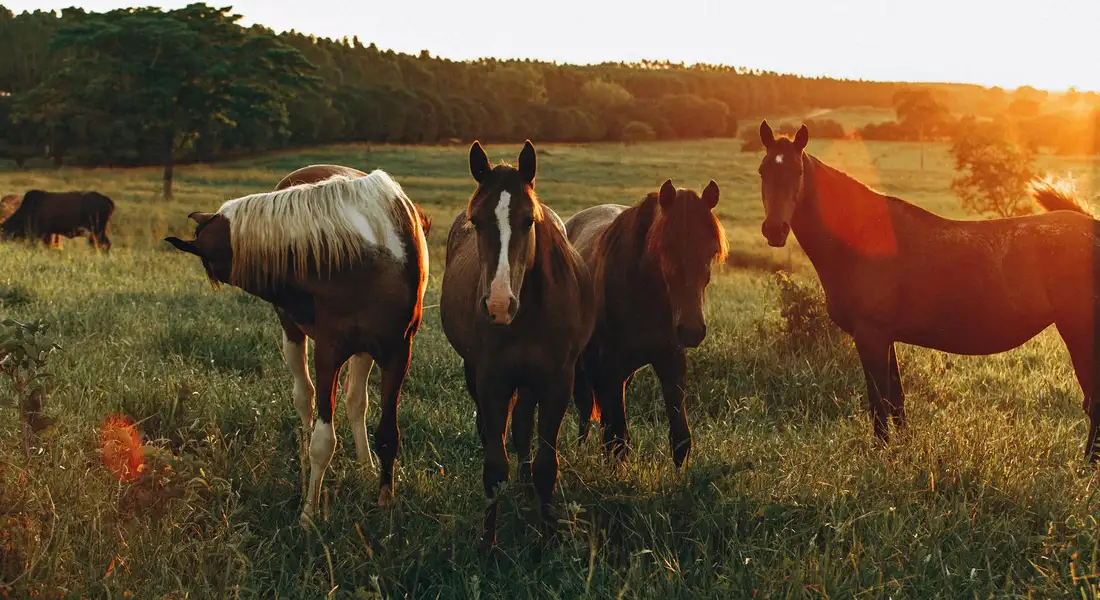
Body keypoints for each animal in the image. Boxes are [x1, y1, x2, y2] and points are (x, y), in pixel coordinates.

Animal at [165, 164, 431, 527]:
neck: (367, 254)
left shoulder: (397, 352)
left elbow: (389, 433)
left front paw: (385, 504)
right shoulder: (328, 352)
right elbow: (322, 440)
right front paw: (309, 513)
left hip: (364, 350)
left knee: (355, 402)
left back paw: (364, 465)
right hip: (294, 335)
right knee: (305, 399)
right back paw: (306, 467)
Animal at [439, 140, 594, 545]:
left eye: (528, 220)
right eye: (476, 221)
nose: (498, 305)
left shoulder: (557, 382)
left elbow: (546, 464)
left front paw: (548, 535)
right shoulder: (492, 380)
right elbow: (494, 467)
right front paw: (488, 542)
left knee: (524, 427)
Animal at [566, 179, 728, 468]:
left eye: (711, 251)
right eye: (665, 249)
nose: (691, 330)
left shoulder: (670, 362)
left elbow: (680, 438)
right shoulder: (612, 364)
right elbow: (618, 439)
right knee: (586, 411)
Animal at [756, 119, 1100, 460]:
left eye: (798, 172)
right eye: (763, 171)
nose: (774, 230)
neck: (864, 237)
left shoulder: (870, 335)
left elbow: (879, 401)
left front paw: (881, 453)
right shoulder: (885, 336)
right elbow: (896, 400)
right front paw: (904, 449)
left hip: (1080, 333)